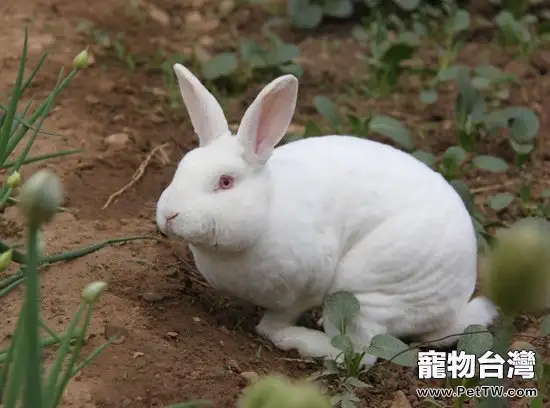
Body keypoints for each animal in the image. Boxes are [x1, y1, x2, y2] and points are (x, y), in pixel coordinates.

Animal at [156, 64, 500, 366]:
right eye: (182, 166)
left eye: (225, 182)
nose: (169, 214)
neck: (267, 209)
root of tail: (455, 305)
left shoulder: (300, 290)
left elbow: (274, 322)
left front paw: (278, 332)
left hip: (366, 289)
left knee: (358, 350)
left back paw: (302, 341)